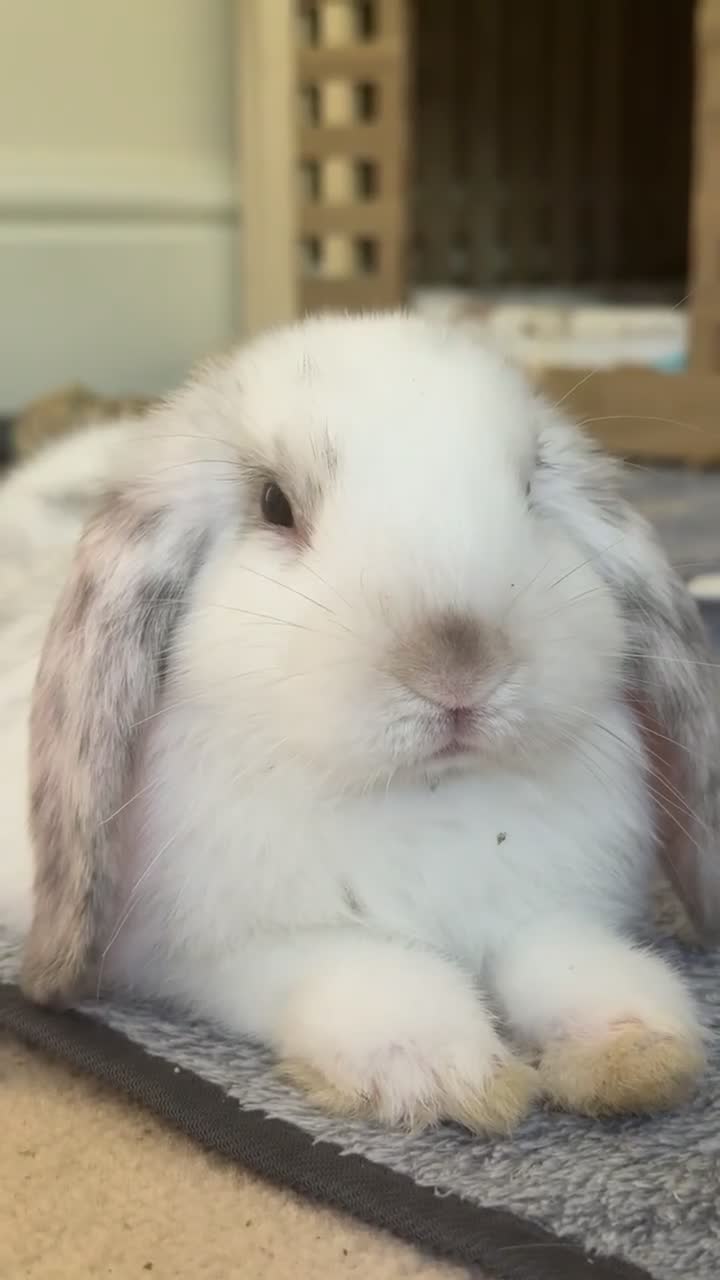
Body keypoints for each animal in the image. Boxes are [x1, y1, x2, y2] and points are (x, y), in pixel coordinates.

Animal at [1, 311, 719, 1135]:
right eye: (275, 504)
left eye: (530, 489)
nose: (459, 666)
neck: (427, 798)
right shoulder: (220, 953)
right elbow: (367, 972)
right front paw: (451, 1076)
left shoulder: (544, 908)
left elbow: (567, 958)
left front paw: (634, 1052)